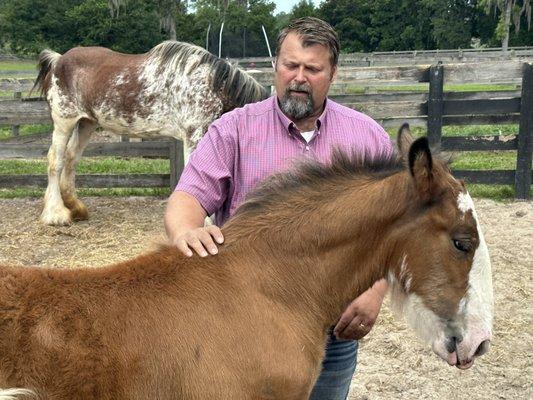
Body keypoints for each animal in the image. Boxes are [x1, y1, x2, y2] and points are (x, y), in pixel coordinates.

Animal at [31, 42, 268, 228]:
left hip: (86, 123)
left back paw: (76, 207)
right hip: (64, 122)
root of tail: (59, 60)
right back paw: (56, 214)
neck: (214, 87)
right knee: (56, 161)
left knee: (71, 159)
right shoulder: (195, 133)